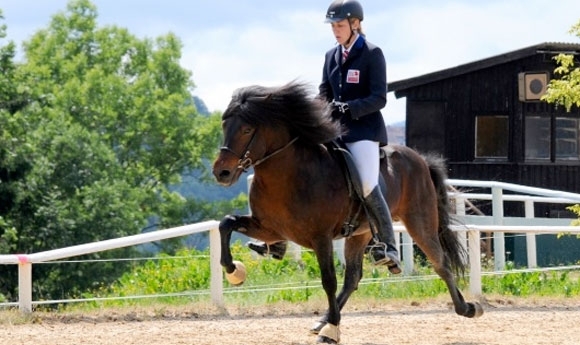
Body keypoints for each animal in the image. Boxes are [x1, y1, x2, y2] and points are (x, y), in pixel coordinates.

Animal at [211, 80, 482, 342]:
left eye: (246, 129)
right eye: (224, 126)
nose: (221, 172)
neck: (288, 175)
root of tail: (421, 159)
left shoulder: (320, 238)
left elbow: (328, 280)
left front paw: (334, 329)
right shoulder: (269, 228)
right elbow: (226, 223)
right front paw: (234, 271)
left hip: (419, 222)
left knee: (440, 262)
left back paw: (468, 308)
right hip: (361, 233)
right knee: (353, 277)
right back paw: (324, 321)